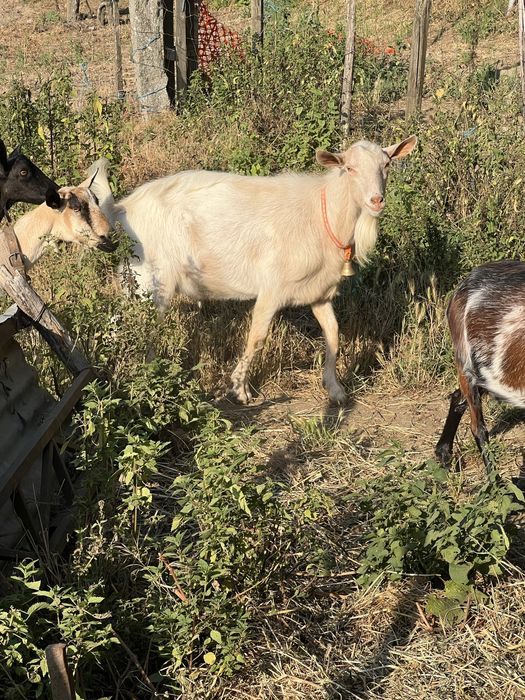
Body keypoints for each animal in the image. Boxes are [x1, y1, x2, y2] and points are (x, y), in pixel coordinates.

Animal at [89, 135, 417, 403]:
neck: (323, 215)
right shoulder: (272, 289)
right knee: (142, 326)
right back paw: (141, 372)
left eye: (387, 164)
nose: (376, 200)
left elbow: (333, 334)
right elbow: (257, 337)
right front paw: (240, 389)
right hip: (151, 279)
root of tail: (124, 208)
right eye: (349, 168)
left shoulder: (318, 292)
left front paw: (335, 389)